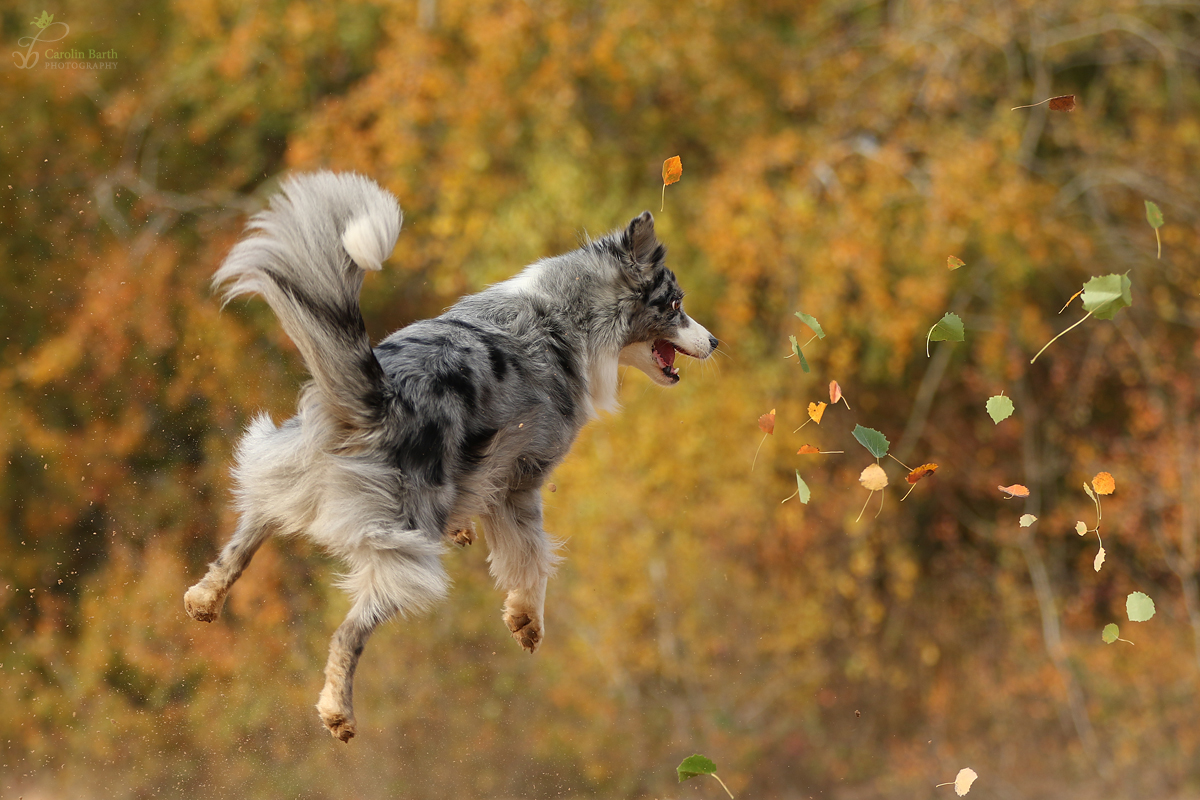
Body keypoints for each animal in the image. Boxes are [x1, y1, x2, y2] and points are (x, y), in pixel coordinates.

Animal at [182, 172, 715, 743]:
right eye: (676, 305)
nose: (715, 340)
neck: (564, 318)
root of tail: (378, 396)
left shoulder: (483, 470)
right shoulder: (524, 476)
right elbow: (530, 555)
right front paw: (527, 620)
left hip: (286, 469)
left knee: (246, 534)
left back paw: (204, 598)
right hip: (405, 548)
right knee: (348, 631)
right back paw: (337, 710)